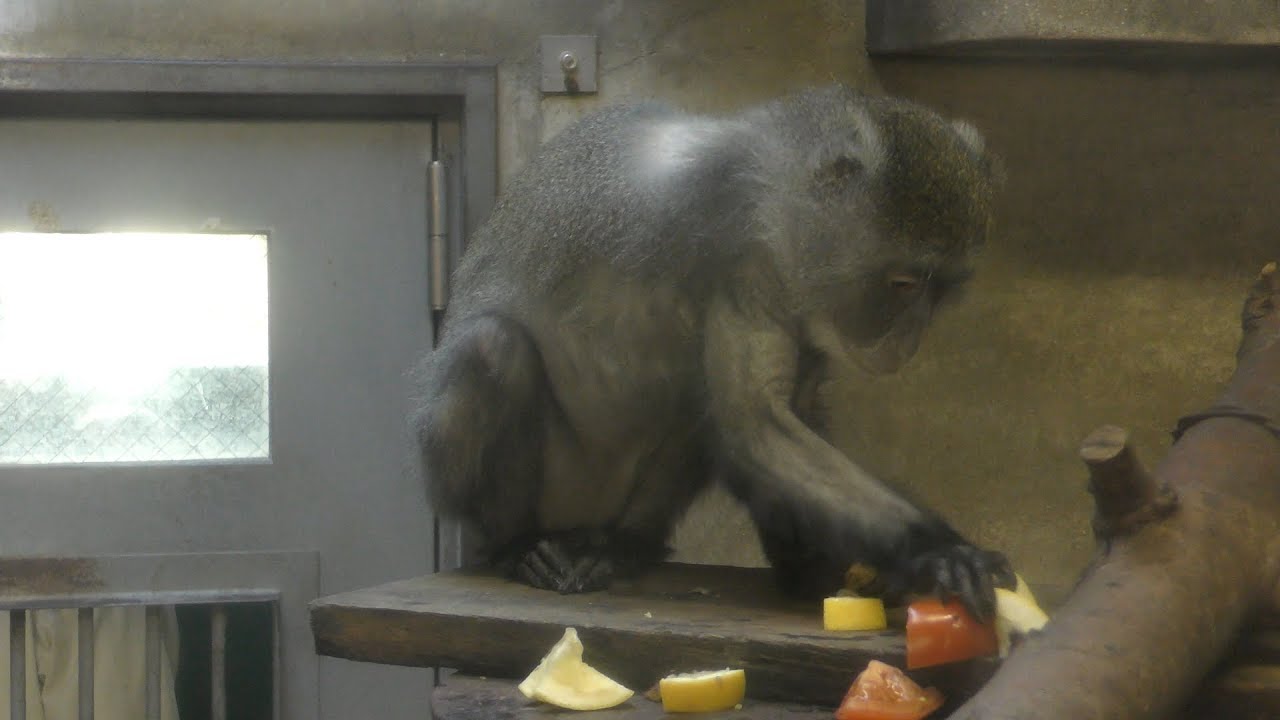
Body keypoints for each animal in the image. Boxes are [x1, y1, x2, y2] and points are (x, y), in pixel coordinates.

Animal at [411, 85, 1014, 619]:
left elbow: (785, 416)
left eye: (943, 293)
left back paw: (624, 545)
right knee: (493, 348)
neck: (775, 197)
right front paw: (934, 548)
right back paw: (516, 545)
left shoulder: (804, 310)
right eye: (905, 285)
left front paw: (812, 567)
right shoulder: (741, 262)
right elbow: (755, 426)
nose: (909, 340)